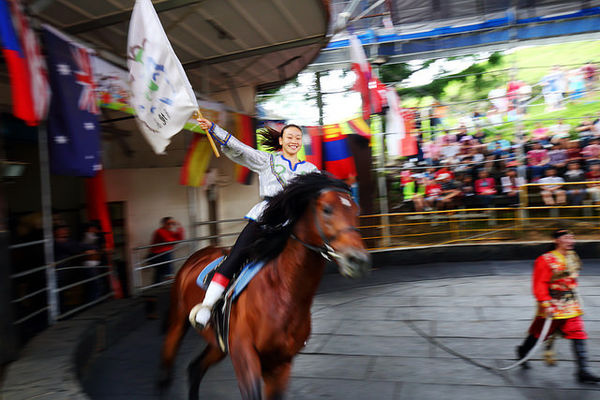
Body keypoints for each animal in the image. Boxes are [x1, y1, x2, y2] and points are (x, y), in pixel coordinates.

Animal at [162, 174, 372, 400]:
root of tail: (197, 255)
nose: (357, 260)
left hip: (218, 344)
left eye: (356, 210)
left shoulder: (280, 364)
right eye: (327, 209)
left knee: (195, 368)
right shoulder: (244, 355)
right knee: (169, 363)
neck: (282, 292)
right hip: (178, 321)